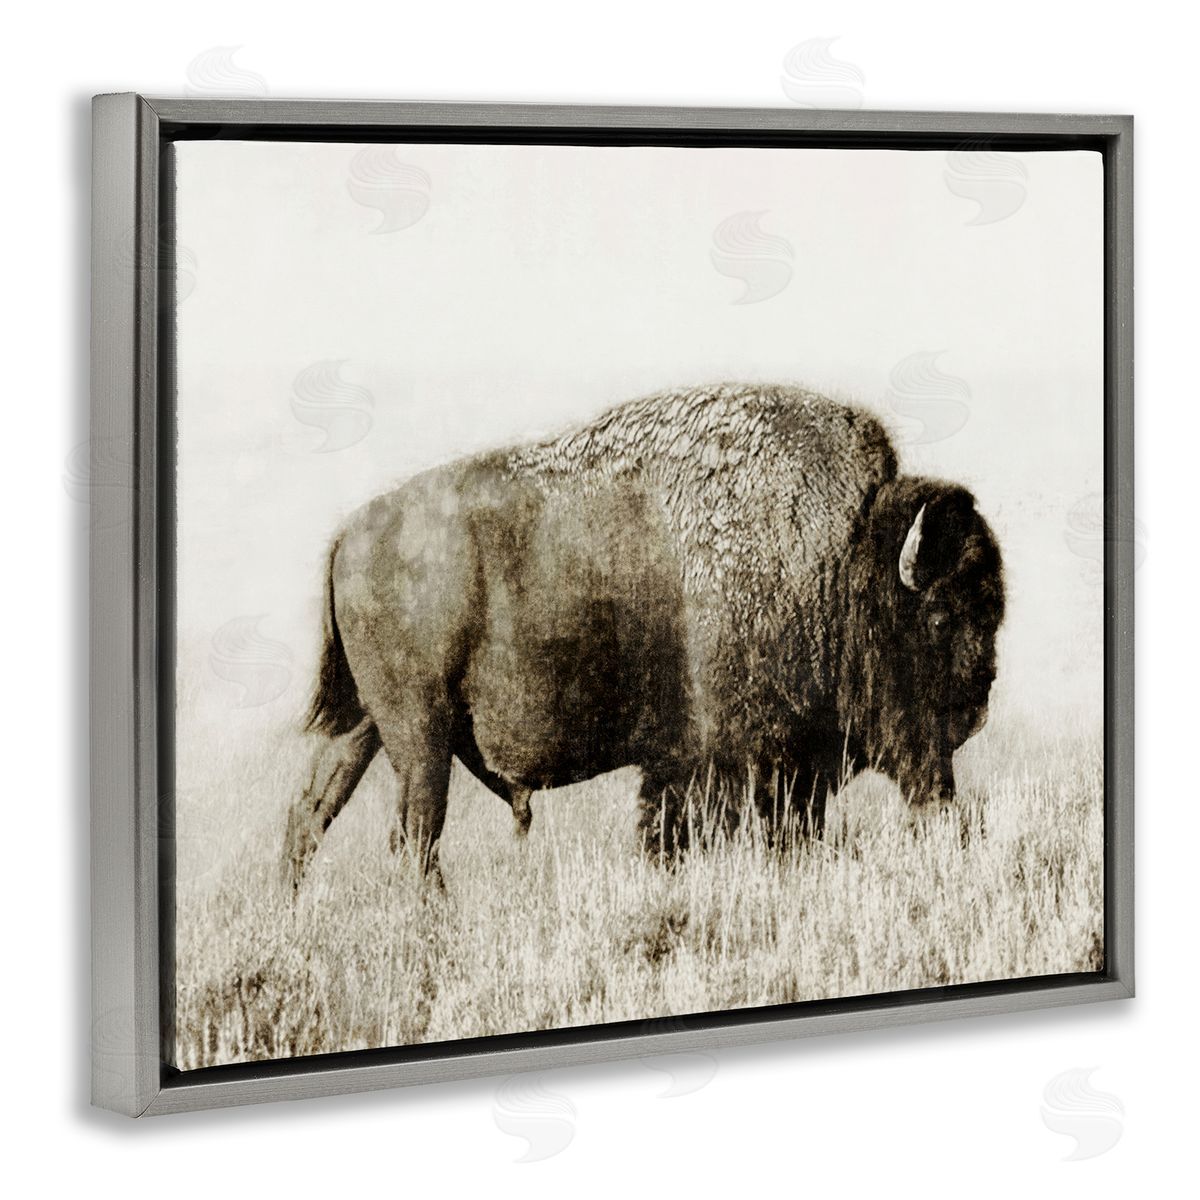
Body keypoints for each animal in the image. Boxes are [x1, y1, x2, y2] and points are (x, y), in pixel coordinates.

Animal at [282, 383, 1004, 886]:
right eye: (940, 617)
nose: (976, 705)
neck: (843, 556)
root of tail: (348, 535)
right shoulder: (740, 764)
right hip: (419, 732)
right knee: (414, 835)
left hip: (366, 726)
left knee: (311, 814)